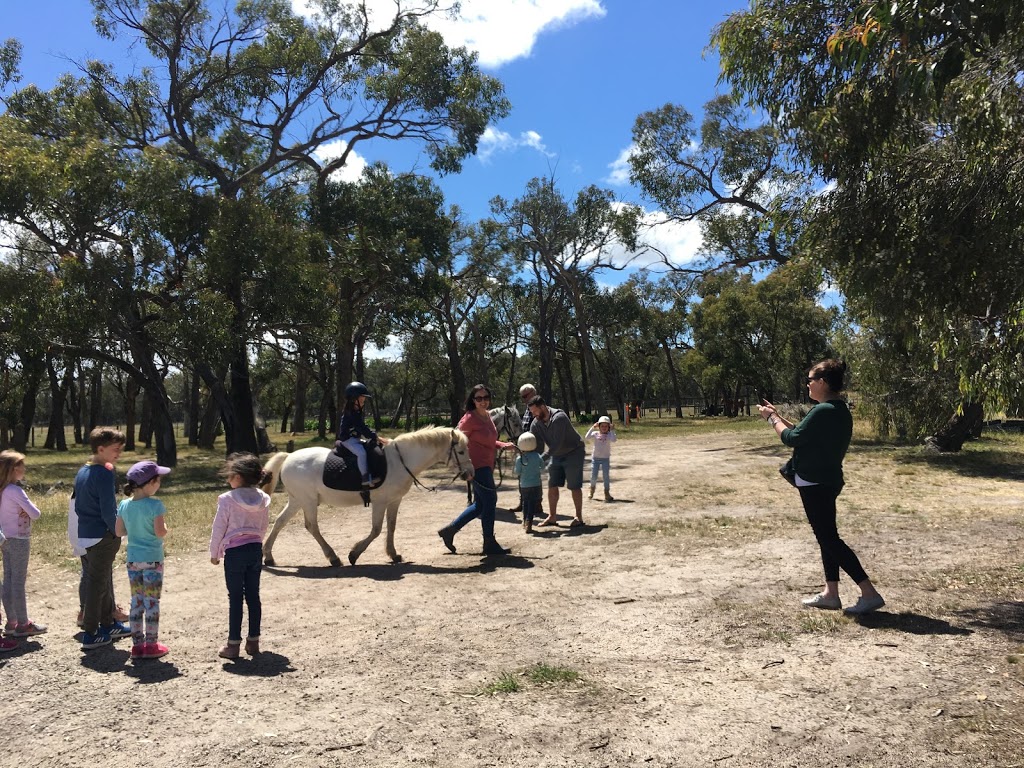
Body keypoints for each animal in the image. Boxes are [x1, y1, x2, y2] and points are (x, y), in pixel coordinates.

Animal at [262, 430, 473, 569]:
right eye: (462, 451)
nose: (470, 473)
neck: (399, 461)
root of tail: (289, 456)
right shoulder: (380, 502)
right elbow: (376, 529)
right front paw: (354, 554)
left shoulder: (394, 501)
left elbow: (391, 526)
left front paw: (393, 554)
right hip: (308, 502)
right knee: (311, 526)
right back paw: (333, 557)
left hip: (297, 500)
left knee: (280, 522)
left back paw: (269, 556)